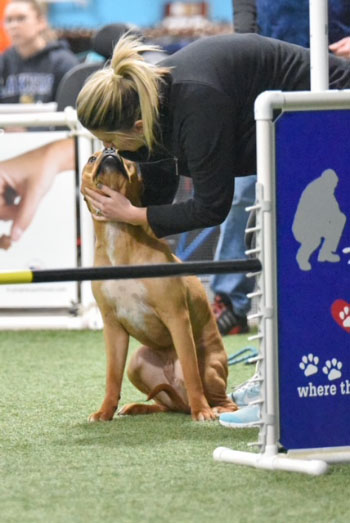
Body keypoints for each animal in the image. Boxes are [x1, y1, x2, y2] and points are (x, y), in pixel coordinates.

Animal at [80, 147, 237, 422]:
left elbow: (191, 372)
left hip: (209, 365)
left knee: (222, 398)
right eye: (91, 159)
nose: (110, 151)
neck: (119, 238)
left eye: (127, 158)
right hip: (137, 363)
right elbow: (112, 377)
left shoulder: (176, 316)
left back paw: (213, 409)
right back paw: (138, 407)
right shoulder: (112, 325)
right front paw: (104, 412)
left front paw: (202, 412)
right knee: (166, 404)